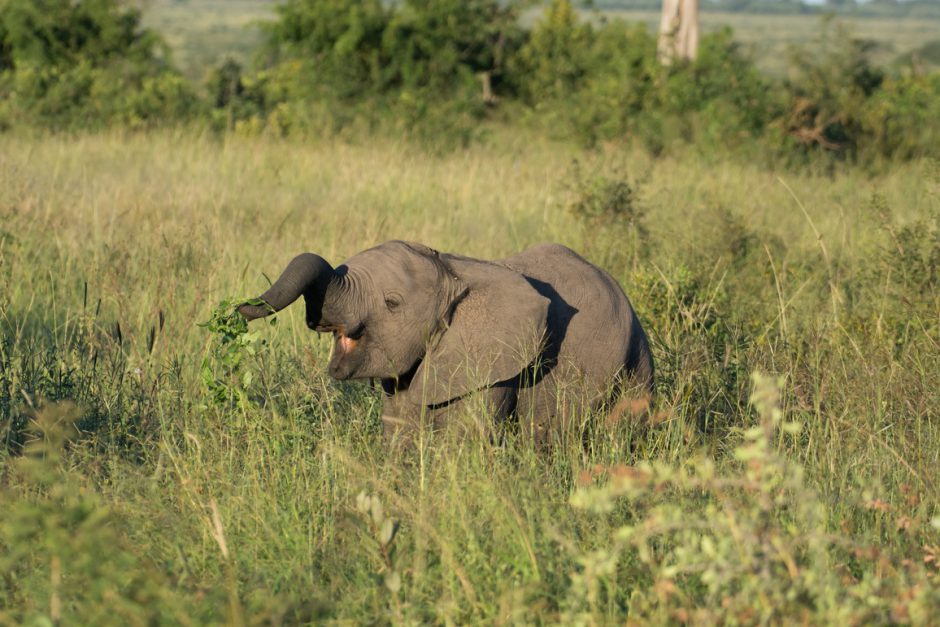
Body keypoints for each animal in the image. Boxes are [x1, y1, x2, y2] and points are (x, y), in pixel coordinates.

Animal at [241, 240, 652, 442]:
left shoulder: (491, 365)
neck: (452, 270)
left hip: (632, 371)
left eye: (391, 303)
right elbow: (400, 432)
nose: (239, 308)